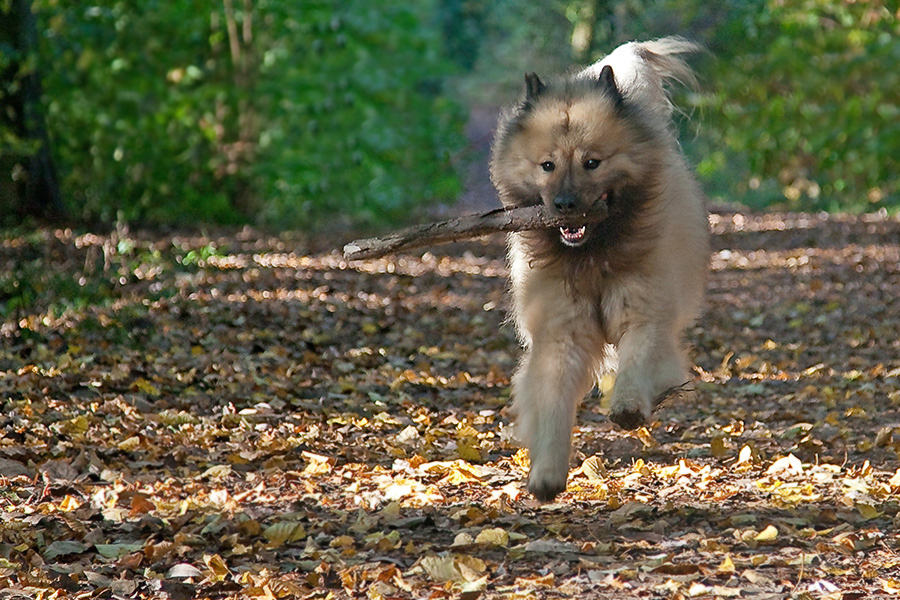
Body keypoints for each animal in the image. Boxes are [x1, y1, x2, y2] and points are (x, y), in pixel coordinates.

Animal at [492, 37, 712, 502]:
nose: (565, 205)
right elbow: (552, 401)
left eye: (591, 162)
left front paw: (628, 406)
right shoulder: (561, 333)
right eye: (548, 165)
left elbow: (638, 359)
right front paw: (547, 473)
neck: (592, 256)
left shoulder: (643, 313)